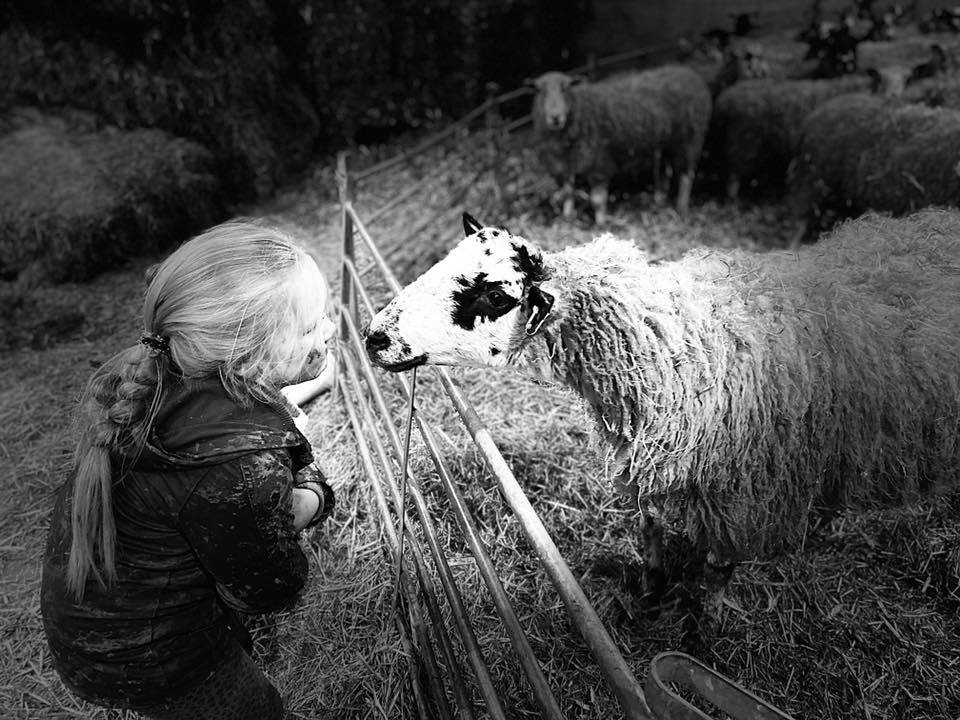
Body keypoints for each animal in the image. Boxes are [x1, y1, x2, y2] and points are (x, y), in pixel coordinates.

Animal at [364, 211, 960, 612]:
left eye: (494, 296)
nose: (374, 337)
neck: (677, 350)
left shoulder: (740, 491)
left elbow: (719, 566)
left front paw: (705, 621)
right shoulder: (648, 456)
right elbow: (649, 525)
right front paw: (651, 589)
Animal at [524, 67, 712, 225]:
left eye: (566, 88)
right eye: (540, 91)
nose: (555, 117)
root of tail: (689, 73)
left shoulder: (599, 162)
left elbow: (596, 200)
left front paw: (601, 224)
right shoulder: (566, 165)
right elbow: (568, 193)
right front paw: (567, 218)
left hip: (690, 139)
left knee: (686, 174)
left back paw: (682, 210)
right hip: (667, 143)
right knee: (663, 173)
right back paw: (658, 203)